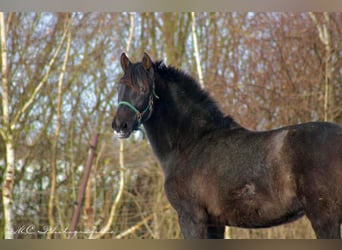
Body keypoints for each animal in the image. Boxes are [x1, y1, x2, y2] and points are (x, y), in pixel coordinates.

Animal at [112, 52, 342, 238]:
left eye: (143, 88)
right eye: (119, 87)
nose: (119, 126)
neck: (191, 142)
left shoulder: (192, 219)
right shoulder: (215, 224)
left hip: (324, 218)